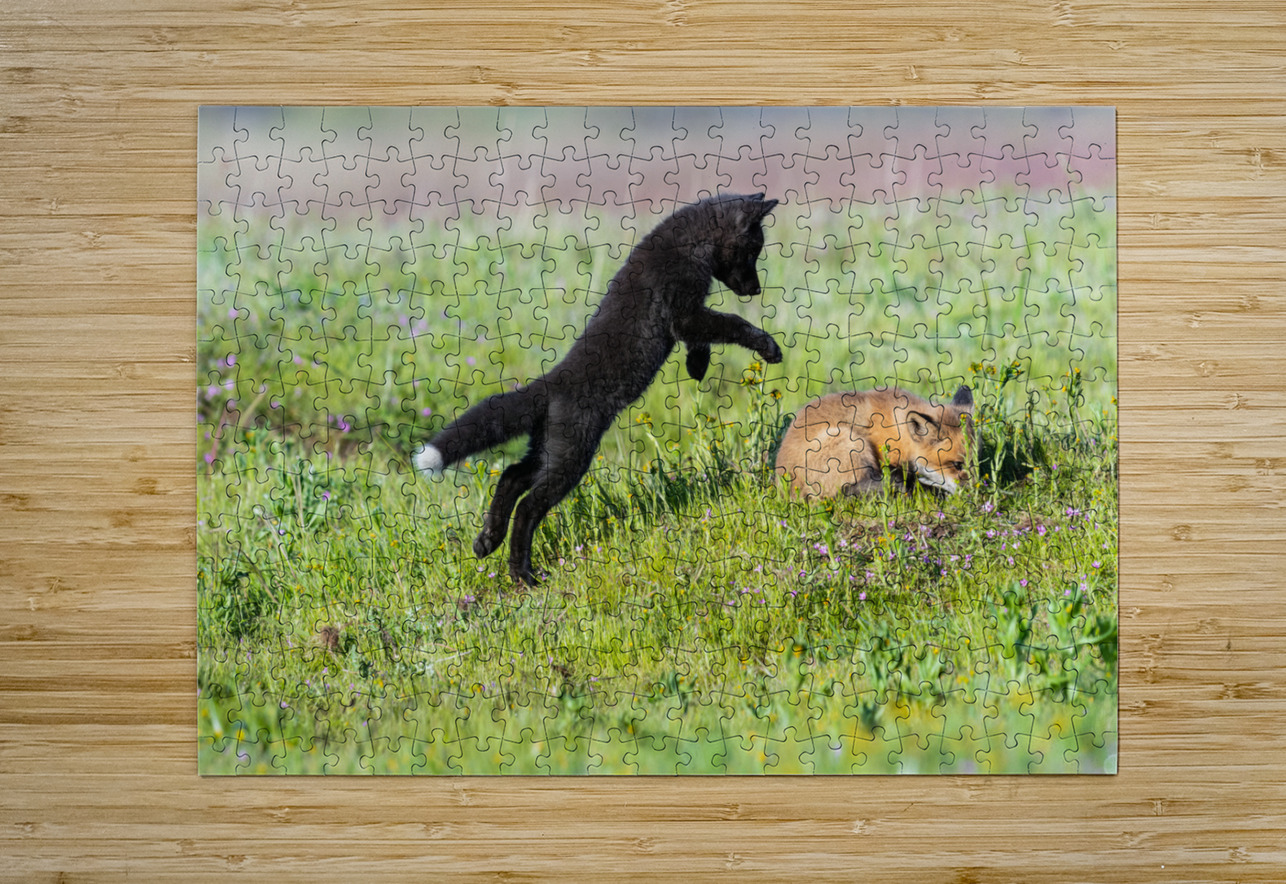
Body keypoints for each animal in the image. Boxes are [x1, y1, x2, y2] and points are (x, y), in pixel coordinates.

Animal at [415, 193, 783, 585]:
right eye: (753, 250)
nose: (756, 289)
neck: (687, 246)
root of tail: (549, 385)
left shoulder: (688, 317)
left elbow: (704, 341)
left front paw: (697, 367)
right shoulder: (684, 313)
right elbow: (733, 324)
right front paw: (769, 348)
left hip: (549, 449)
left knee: (512, 476)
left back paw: (487, 541)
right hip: (572, 457)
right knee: (528, 505)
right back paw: (522, 573)